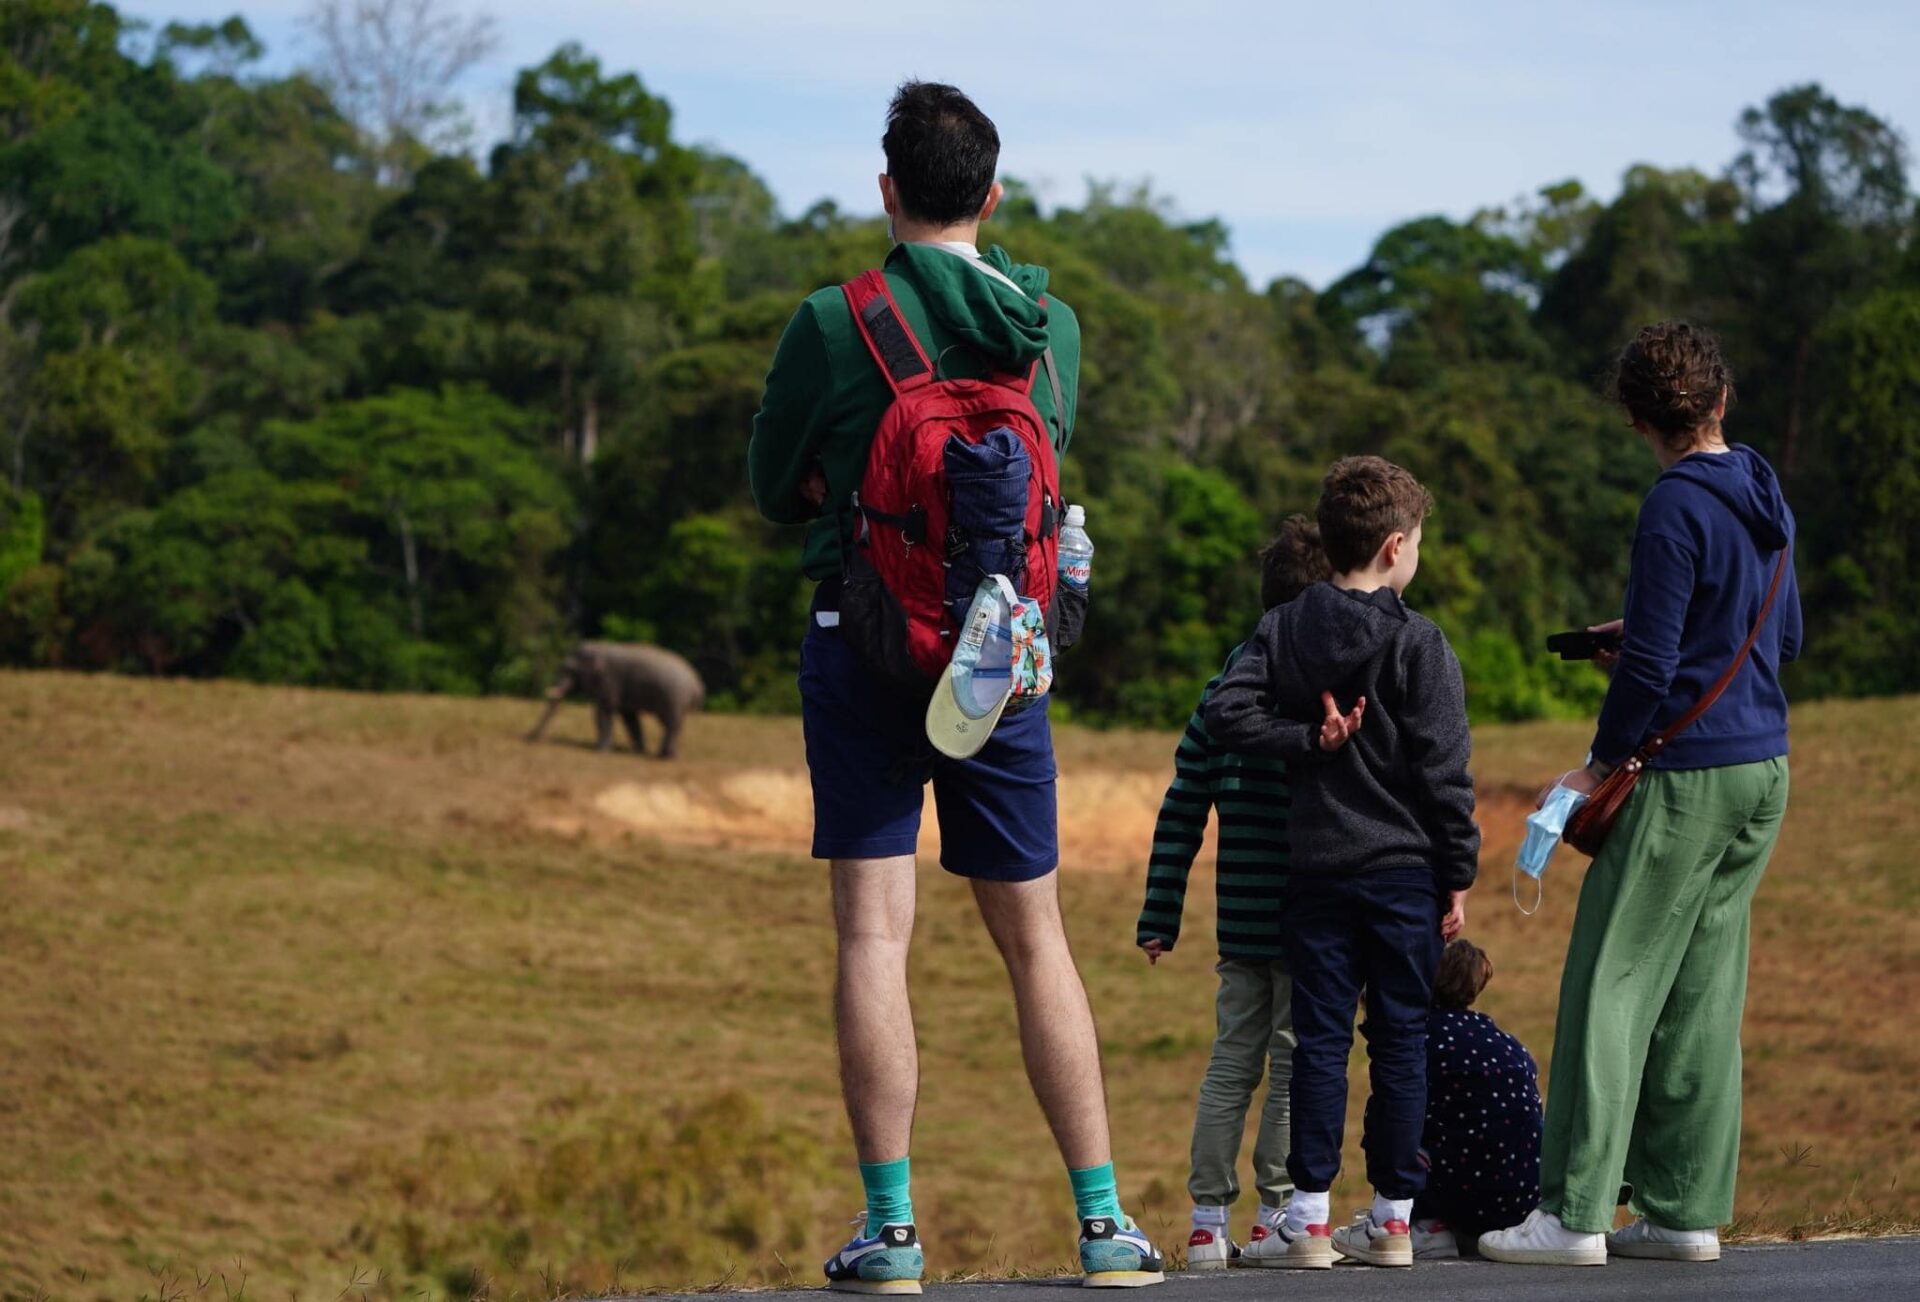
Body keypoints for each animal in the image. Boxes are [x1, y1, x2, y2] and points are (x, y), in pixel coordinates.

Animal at [526, 641, 706, 760]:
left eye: (569, 670)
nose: (529, 738)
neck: (599, 647)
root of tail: (697, 684)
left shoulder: (609, 681)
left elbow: (603, 713)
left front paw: (600, 751)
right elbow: (630, 719)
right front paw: (639, 751)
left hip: (674, 697)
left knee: (671, 725)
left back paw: (665, 757)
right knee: (672, 725)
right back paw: (665, 754)